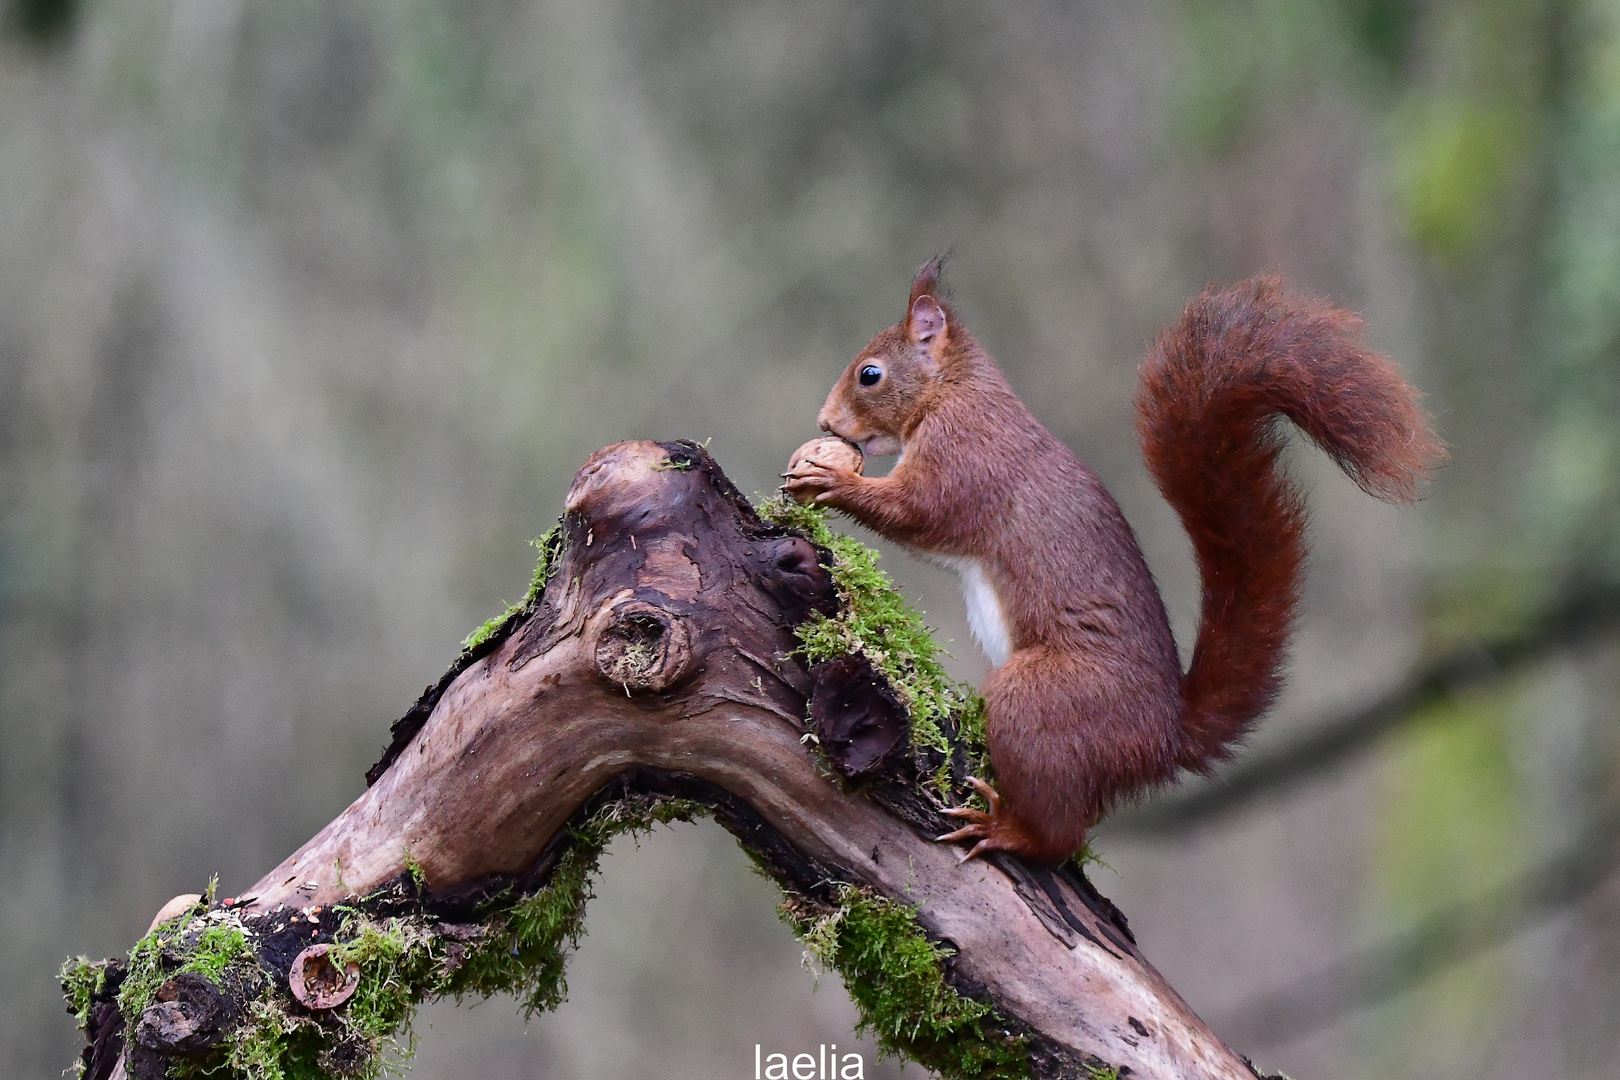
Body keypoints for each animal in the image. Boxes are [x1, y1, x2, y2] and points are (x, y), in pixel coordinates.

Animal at [784, 257, 1445, 867]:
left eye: (870, 374)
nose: (824, 422)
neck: (953, 389)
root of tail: (1165, 737)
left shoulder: (967, 454)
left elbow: (923, 512)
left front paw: (833, 479)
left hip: (1041, 702)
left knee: (1059, 835)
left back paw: (1006, 830)